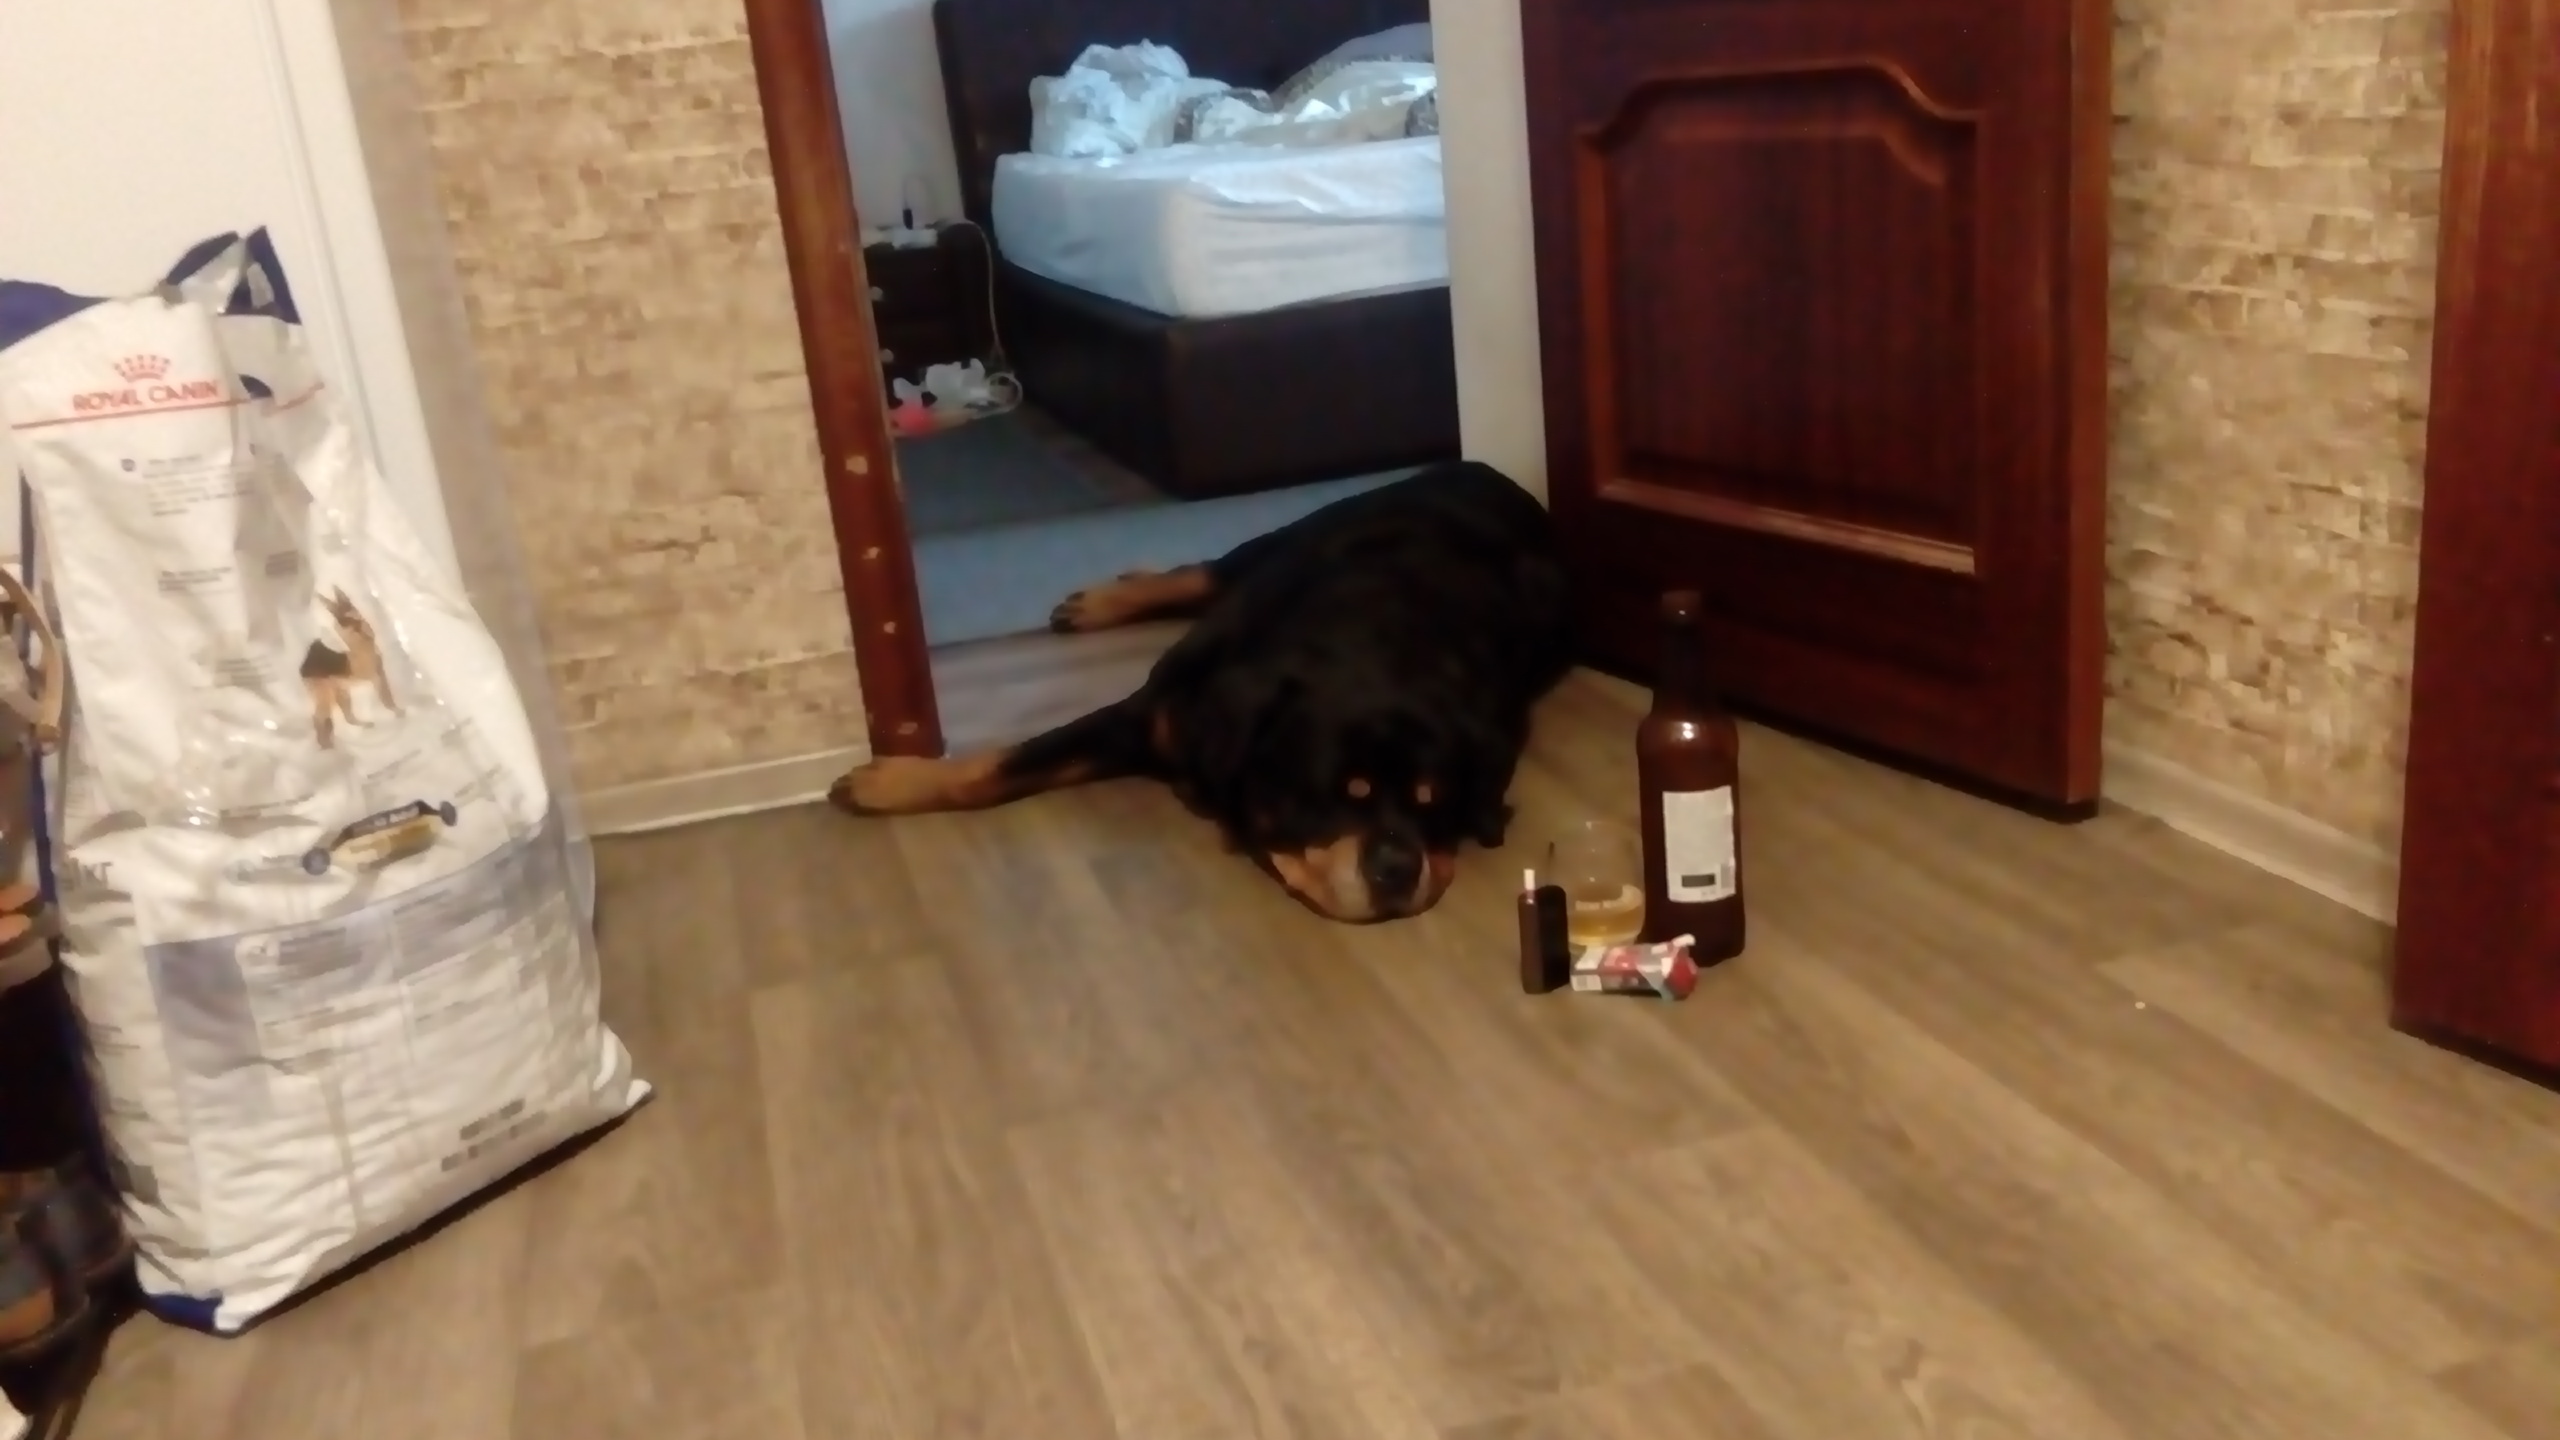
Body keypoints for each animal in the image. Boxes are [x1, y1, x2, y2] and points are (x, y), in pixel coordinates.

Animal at [299, 588, 398, 750]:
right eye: (343, 621)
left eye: (351, 612)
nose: (357, 627)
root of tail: (304, 665)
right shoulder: (375, 678)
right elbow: (385, 699)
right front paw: (399, 713)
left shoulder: (381, 674)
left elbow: (388, 698)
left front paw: (398, 711)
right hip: (328, 697)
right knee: (318, 718)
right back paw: (326, 746)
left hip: (342, 694)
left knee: (348, 718)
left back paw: (363, 725)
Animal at [828, 461, 1574, 922]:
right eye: (1334, 795)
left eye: (1433, 802)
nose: (1397, 866)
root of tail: (1493, 474)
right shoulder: (1151, 713)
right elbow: (1003, 765)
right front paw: (893, 781)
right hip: (1298, 530)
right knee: (1204, 570)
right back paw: (1101, 601)